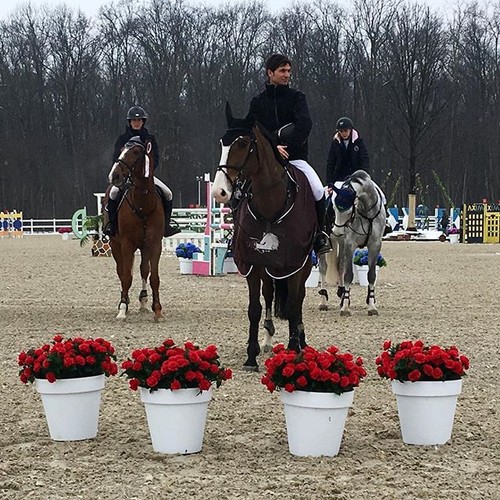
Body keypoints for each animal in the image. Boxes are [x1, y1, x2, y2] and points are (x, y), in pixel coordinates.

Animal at [107, 136, 164, 320]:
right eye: (121, 150)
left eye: (136, 152)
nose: (114, 175)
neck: (142, 204)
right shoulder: (126, 244)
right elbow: (126, 277)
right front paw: (122, 310)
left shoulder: (154, 244)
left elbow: (154, 277)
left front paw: (157, 309)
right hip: (115, 245)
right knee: (121, 271)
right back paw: (123, 301)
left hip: (144, 246)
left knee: (143, 270)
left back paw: (143, 301)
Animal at [212, 104, 316, 372]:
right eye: (222, 143)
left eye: (241, 143)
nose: (219, 192)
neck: (271, 205)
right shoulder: (253, 264)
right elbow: (255, 309)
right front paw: (251, 355)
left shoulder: (294, 265)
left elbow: (292, 306)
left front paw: (294, 349)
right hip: (270, 268)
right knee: (269, 294)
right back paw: (269, 337)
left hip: (302, 266)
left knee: (299, 299)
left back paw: (301, 340)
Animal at [318, 170, 384, 314]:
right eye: (334, 209)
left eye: (349, 211)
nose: (337, 231)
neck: (366, 213)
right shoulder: (350, 244)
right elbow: (348, 274)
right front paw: (345, 308)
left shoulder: (374, 244)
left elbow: (371, 275)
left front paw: (371, 306)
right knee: (323, 267)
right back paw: (323, 301)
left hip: (341, 244)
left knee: (340, 265)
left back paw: (341, 293)